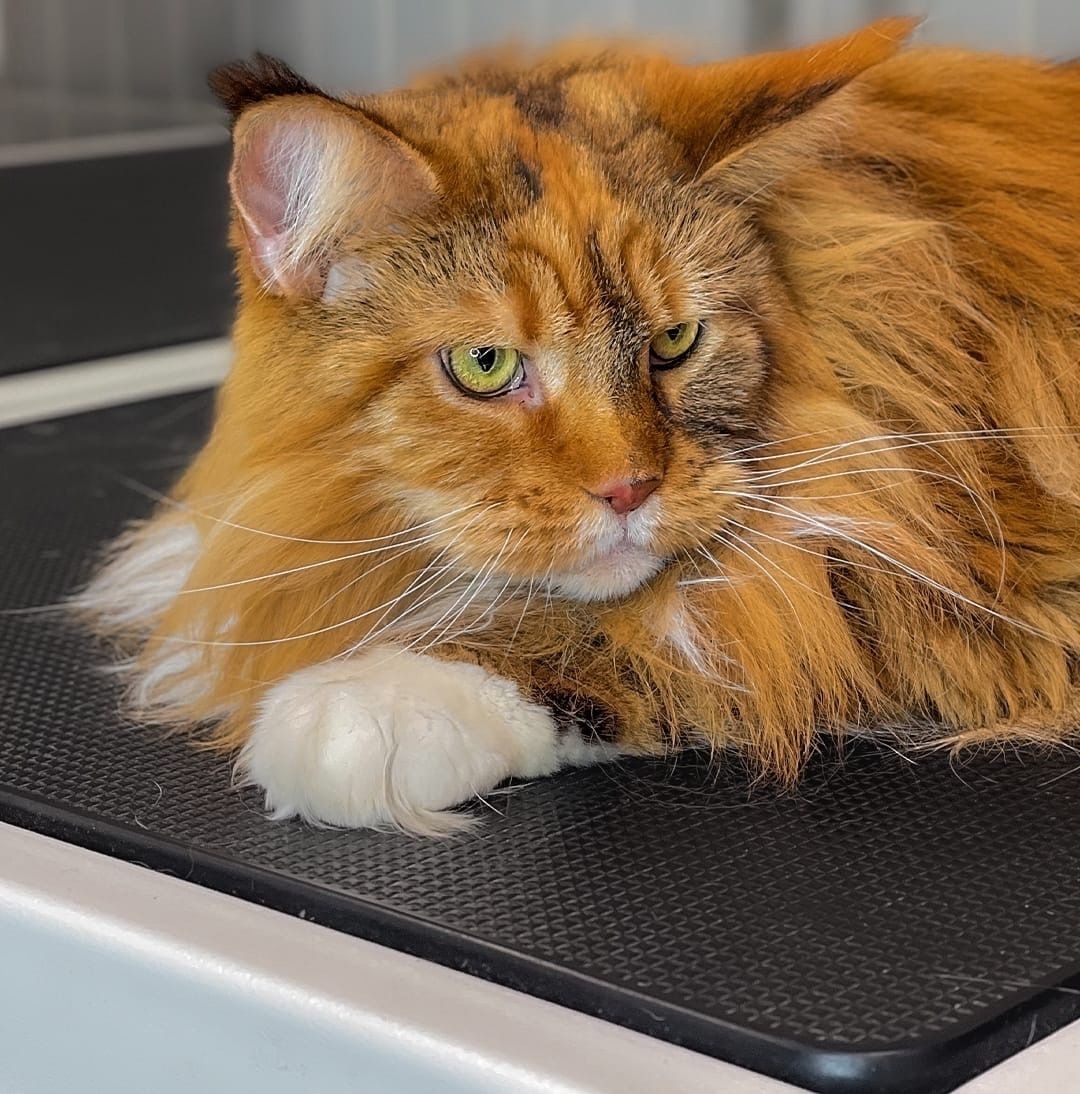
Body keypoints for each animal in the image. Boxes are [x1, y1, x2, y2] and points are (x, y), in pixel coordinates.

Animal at [78, 18, 1080, 833]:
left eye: (675, 341)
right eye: (485, 366)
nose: (630, 488)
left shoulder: (931, 579)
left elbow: (638, 637)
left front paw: (364, 707)